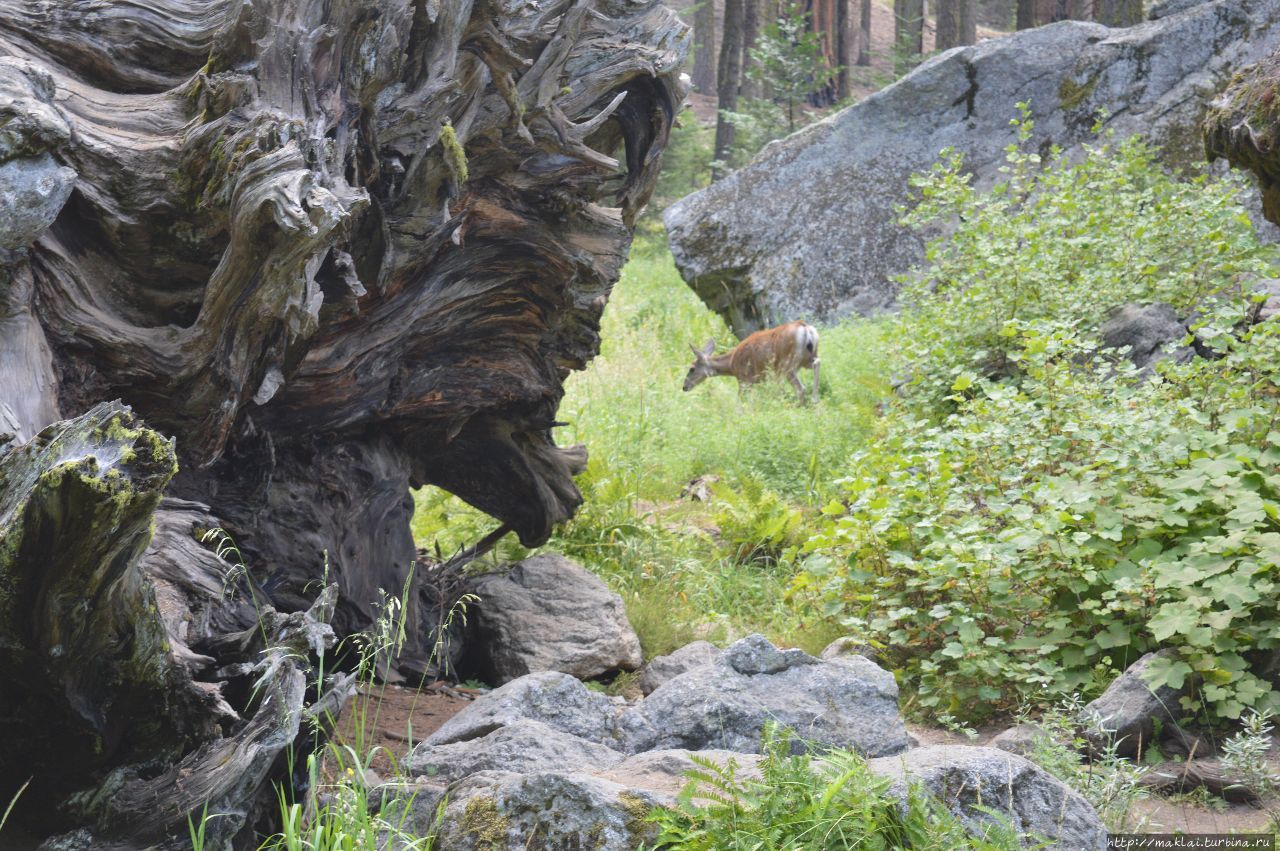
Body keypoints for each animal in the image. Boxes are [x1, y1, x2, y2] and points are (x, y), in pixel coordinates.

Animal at [680, 318, 819, 401]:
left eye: (691, 369)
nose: (684, 387)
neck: (731, 364)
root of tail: (805, 328)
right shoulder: (758, 380)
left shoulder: (744, 379)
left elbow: (741, 400)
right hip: (807, 358)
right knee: (817, 363)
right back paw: (814, 400)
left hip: (787, 364)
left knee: (800, 388)